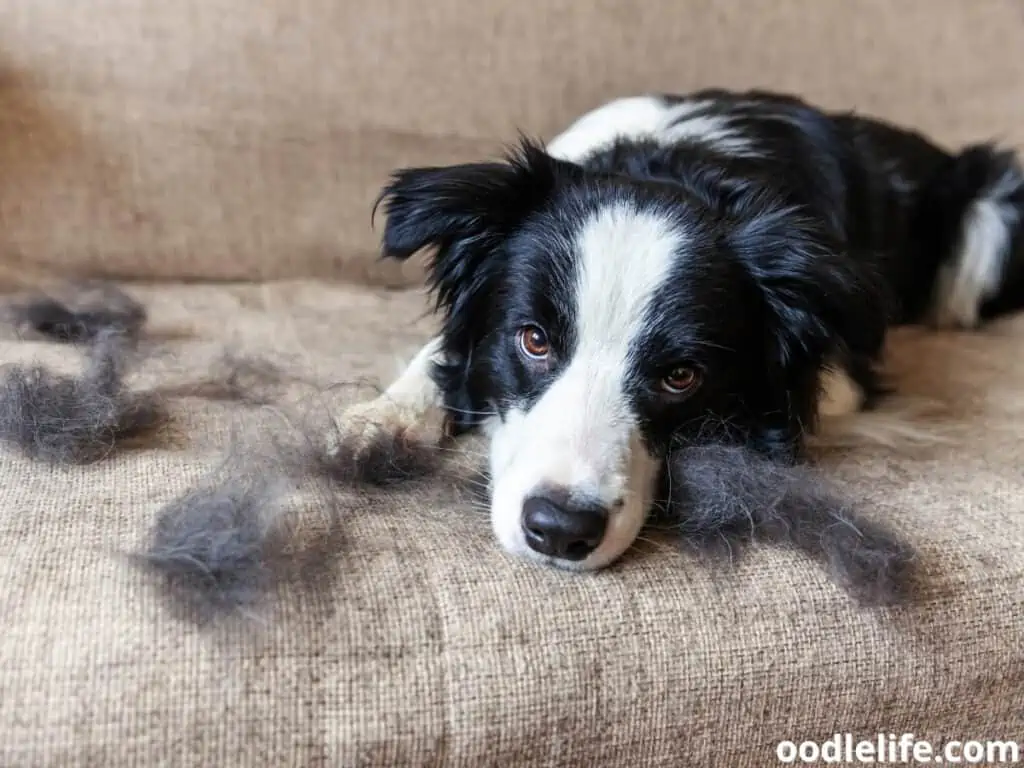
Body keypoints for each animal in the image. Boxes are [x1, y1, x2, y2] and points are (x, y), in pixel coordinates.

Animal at [335, 88, 1024, 573]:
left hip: (990, 215)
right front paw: (385, 419)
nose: (559, 531)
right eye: (533, 340)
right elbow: (442, 354)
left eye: (681, 376)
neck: (676, 168)